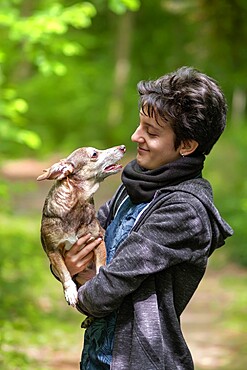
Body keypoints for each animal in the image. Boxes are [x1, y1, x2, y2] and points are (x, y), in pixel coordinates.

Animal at [37, 145, 126, 306]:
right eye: (95, 154)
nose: (123, 147)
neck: (77, 205)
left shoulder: (97, 241)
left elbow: (100, 267)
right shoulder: (53, 251)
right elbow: (65, 273)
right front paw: (70, 292)